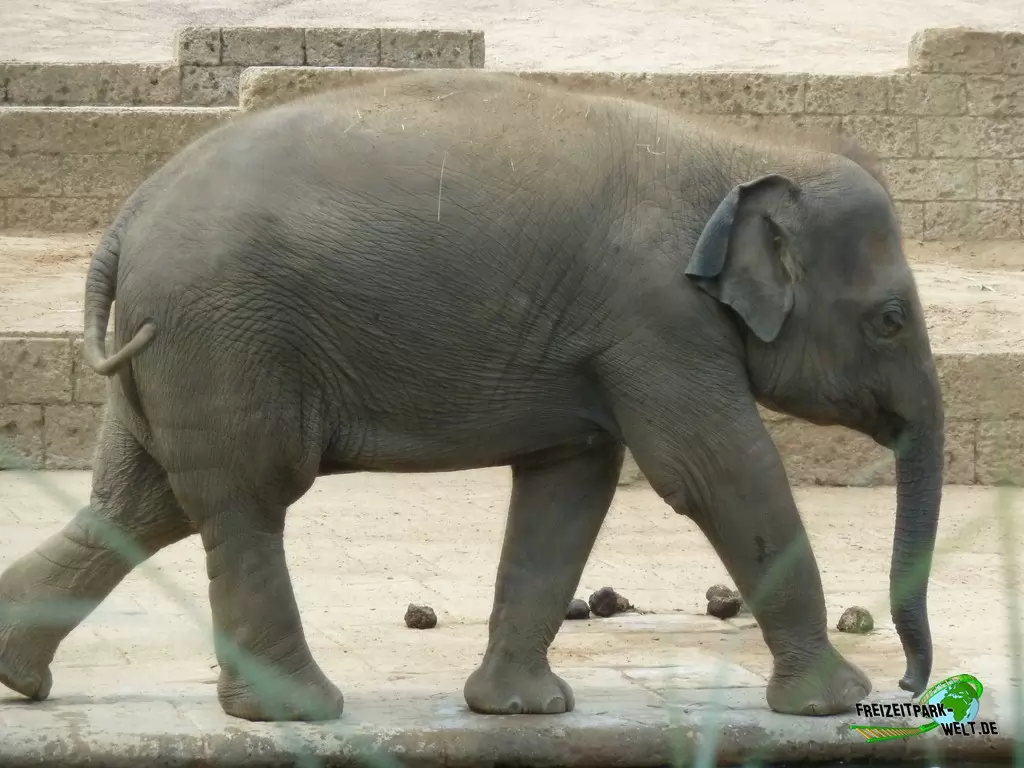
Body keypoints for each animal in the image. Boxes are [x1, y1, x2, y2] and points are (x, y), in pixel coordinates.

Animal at [0, 70, 943, 722]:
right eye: (891, 320)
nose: (910, 683)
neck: (743, 152)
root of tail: (127, 219)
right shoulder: (658, 319)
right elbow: (715, 472)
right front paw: (838, 704)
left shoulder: (609, 338)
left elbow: (571, 483)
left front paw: (520, 711)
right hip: (222, 338)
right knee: (244, 501)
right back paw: (297, 714)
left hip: (169, 349)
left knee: (139, 504)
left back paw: (20, 674)